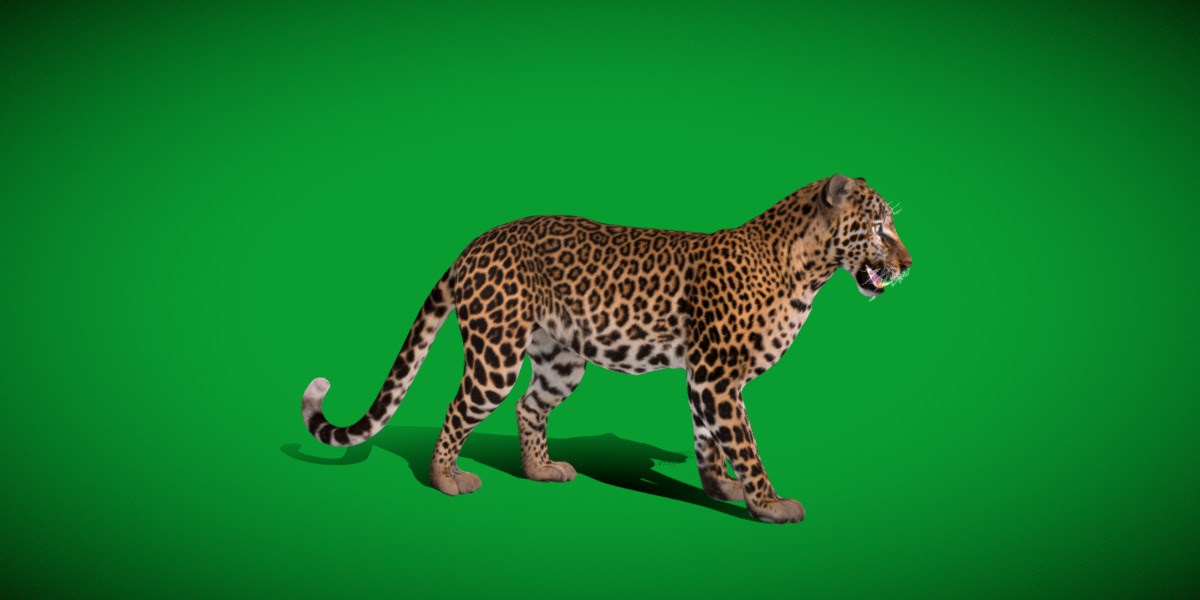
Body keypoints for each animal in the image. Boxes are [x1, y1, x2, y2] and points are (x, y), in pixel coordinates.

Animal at [300, 174, 913, 524]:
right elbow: (744, 442)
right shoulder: (716, 375)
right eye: (880, 228)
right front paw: (768, 503)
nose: (908, 264)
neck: (807, 271)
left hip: (561, 359)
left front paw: (720, 486)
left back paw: (540, 470)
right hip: (496, 352)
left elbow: (708, 436)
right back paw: (447, 480)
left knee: (529, 406)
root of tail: (475, 243)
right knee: (459, 409)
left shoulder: (703, 377)